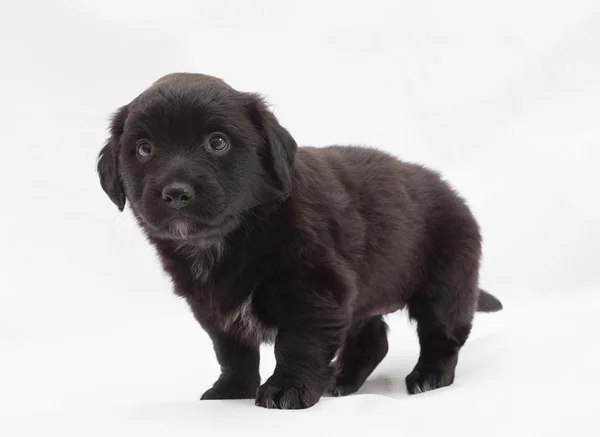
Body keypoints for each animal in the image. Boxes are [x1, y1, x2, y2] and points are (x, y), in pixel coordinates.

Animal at [97, 72, 502, 408]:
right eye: (144, 149)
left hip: (445, 285)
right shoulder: (213, 307)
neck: (230, 237)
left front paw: (287, 389)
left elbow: (298, 345)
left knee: (441, 335)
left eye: (217, 142)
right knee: (373, 340)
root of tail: (453, 194)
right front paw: (232, 389)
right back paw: (341, 380)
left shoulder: (316, 291)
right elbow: (232, 351)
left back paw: (428, 377)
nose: (176, 192)